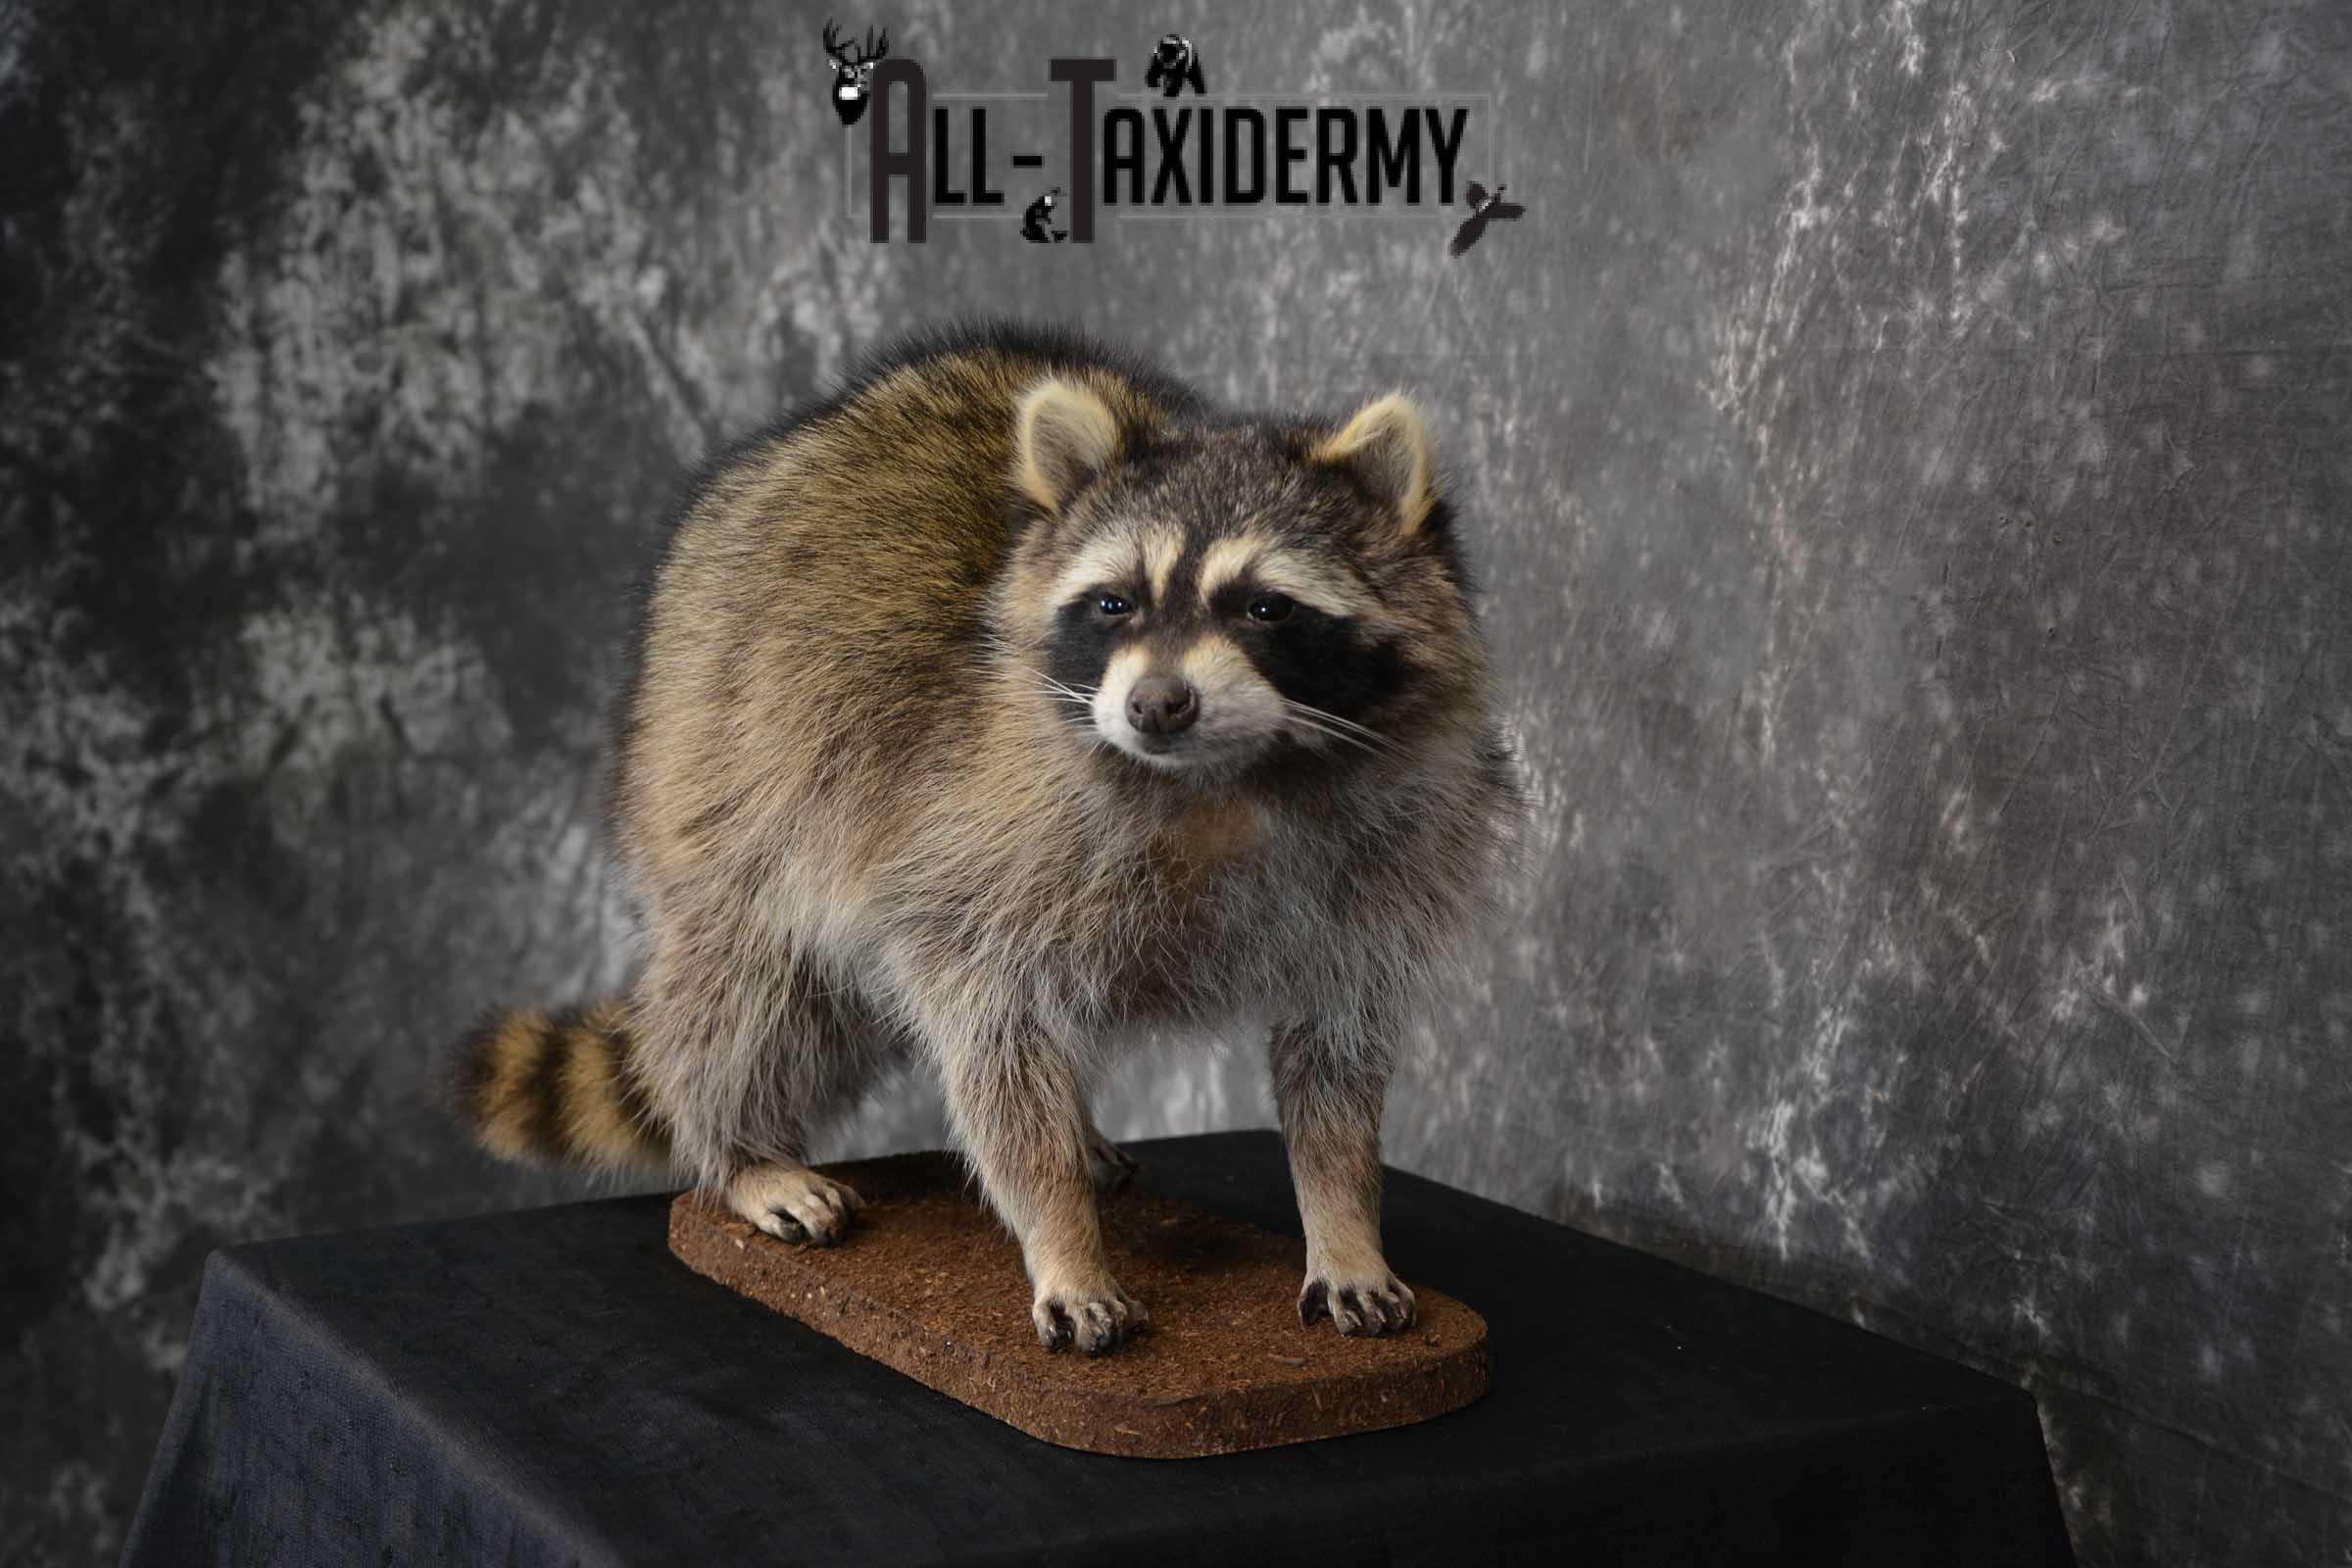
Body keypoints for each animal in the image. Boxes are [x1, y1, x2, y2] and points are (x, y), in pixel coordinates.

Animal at [452, 323, 1521, 1355]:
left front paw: (1342, 1219)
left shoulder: (1383, 863)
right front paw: (1062, 1237)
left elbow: (1337, 1056)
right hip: (720, 751)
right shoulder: (973, 843)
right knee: (747, 983)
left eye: (1264, 606)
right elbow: (993, 1043)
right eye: (1114, 602)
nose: (1155, 704)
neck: (1221, 779)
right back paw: (739, 1149)